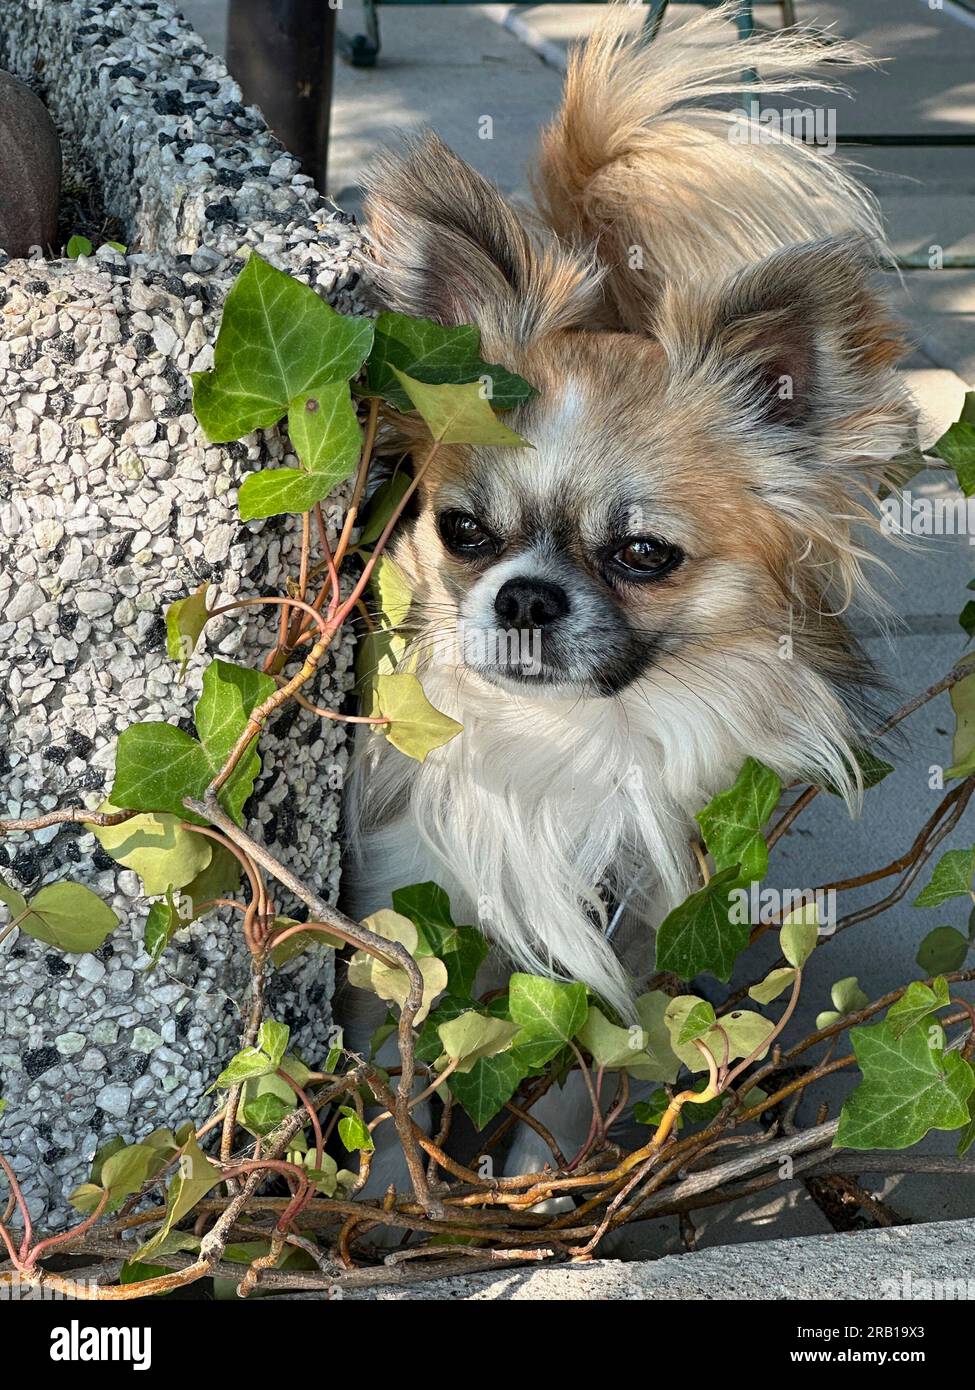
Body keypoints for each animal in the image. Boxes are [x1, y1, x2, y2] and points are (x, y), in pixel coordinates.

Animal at [340, 5, 912, 1178]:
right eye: (462, 532)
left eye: (644, 554)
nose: (523, 598)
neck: (560, 747)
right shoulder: (400, 933)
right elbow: (390, 1099)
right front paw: (395, 1184)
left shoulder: (612, 965)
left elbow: (560, 1101)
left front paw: (542, 1189)